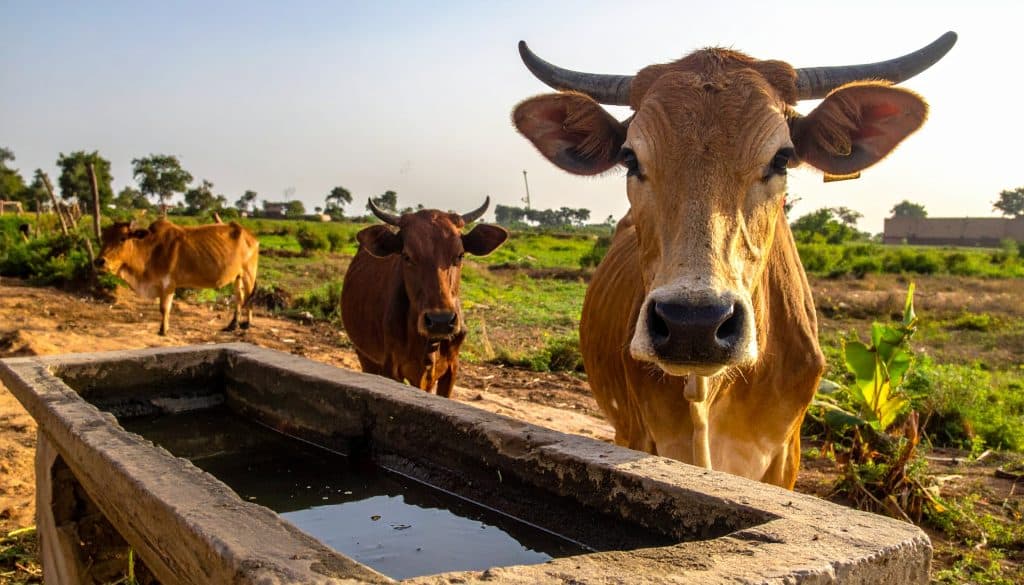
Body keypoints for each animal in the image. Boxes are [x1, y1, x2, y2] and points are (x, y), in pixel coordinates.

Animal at [95, 219, 260, 336]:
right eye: (104, 238)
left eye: (122, 238)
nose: (99, 261)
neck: (151, 249)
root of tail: (250, 235)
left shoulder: (168, 284)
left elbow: (164, 308)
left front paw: (163, 330)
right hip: (237, 277)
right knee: (239, 298)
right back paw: (232, 325)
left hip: (249, 274)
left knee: (249, 297)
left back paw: (247, 324)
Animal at [342, 198, 508, 397]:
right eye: (406, 256)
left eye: (460, 255)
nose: (440, 321)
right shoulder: (391, 367)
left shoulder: (451, 368)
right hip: (365, 355)